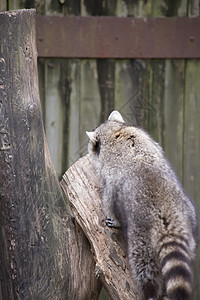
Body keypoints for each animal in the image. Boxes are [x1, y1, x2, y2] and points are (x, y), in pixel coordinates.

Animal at [86, 110, 198, 300]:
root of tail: (165, 212)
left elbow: (109, 198)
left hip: (141, 234)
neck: (115, 131)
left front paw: (113, 219)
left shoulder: (109, 176)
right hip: (189, 223)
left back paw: (150, 290)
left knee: (144, 266)